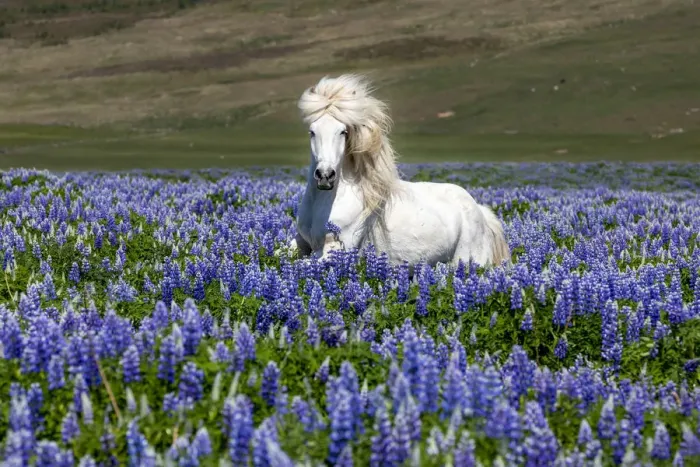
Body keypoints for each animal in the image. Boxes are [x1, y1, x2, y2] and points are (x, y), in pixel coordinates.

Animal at [287, 73, 510, 269]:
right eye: (312, 131)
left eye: (343, 132)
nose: (325, 175)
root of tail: (480, 212)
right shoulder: (301, 242)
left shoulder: (334, 249)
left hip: (467, 258)